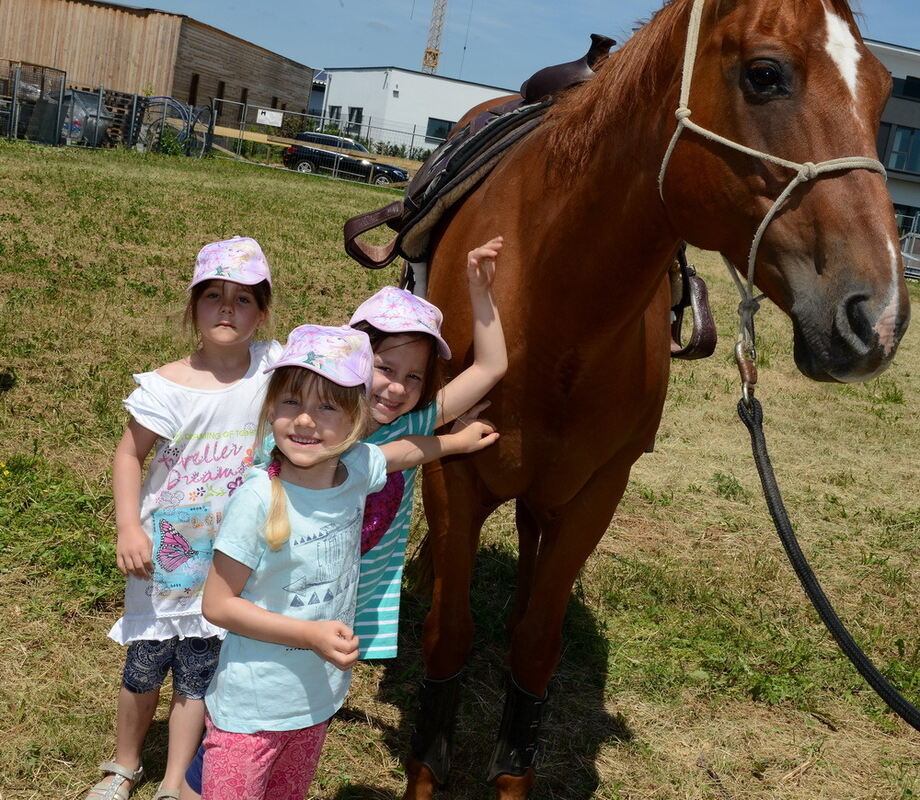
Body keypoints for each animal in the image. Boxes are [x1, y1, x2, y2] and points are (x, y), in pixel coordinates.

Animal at [406, 1, 908, 800]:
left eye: (885, 91)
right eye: (765, 74)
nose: (880, 320)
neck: (550, 298)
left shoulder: (597, 490)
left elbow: (535, 653)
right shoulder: (454, 472)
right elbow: (446, 641)